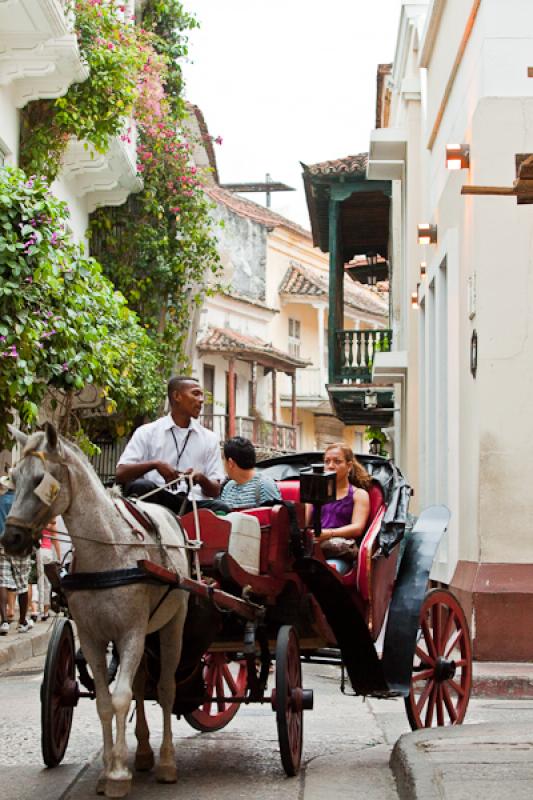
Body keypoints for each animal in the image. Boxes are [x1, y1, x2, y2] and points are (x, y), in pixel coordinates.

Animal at [1, 424, 189, 792]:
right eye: (13, 477)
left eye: (40, 479)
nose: (10, 539)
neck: (108, 552)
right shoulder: (91, 637)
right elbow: (106, 702)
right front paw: (109, 768)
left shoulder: (131, 632)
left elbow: (120, 698)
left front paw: (118, 775)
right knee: (141, 685)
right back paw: (142, 753)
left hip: (172, 622)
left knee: (165, 688)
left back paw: (167, 762)